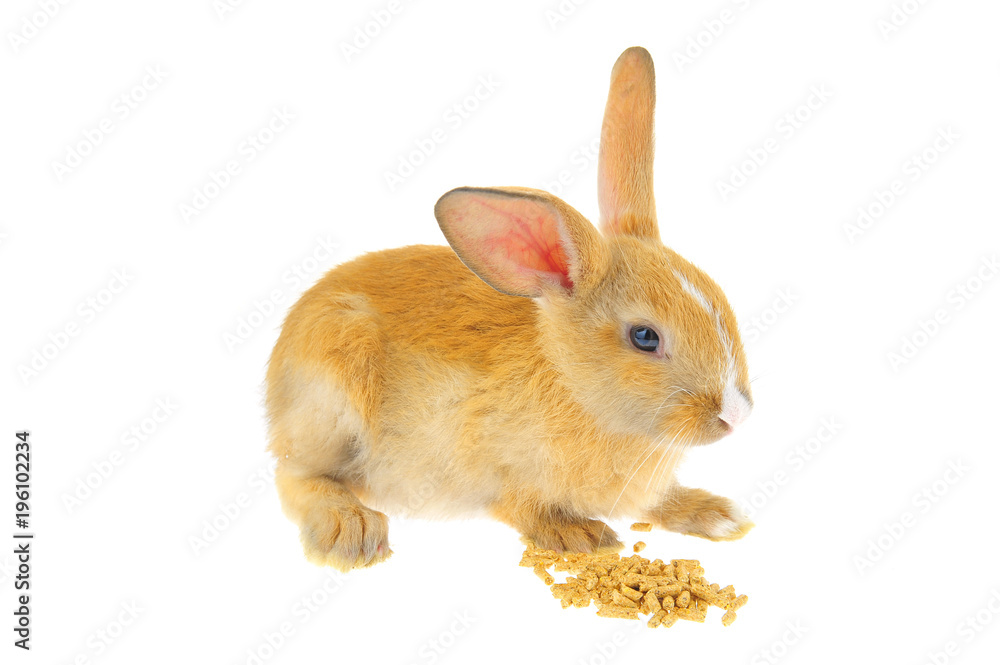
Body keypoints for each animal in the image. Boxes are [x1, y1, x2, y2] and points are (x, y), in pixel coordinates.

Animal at [265, 46, 754, 571]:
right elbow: (521, 505)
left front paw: (718, 516)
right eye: (645, 337)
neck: (572, 382)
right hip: (332, 393)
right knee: (295, 476)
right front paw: (580, 535)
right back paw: (350, 532)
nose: (736, 415)